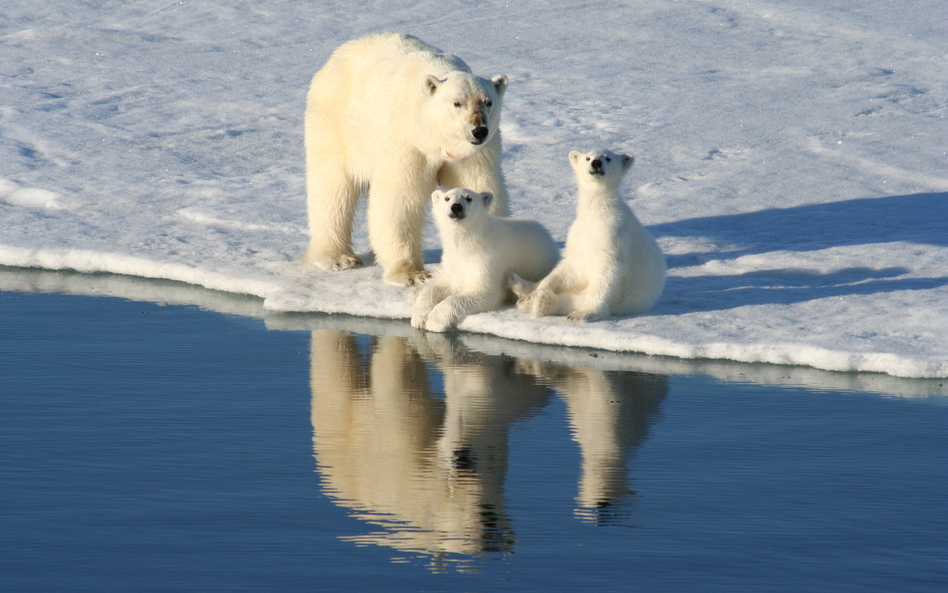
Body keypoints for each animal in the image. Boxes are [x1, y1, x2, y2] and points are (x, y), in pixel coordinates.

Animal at [304, 32, 512, 286]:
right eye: (457, 102)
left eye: (488, 102)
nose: (479, 130)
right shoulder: (405, 142)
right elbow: (399, 197)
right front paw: (412, 273)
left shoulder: (473, 154)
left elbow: (480, 185)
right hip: (336, 121)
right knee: (333, 187)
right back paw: (338, 257)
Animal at [412, 187, 560, 330]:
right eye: (447, 198)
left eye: (469, 198)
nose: (456, 207)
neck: (469, 243)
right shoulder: (454, 261)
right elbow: (442, 286)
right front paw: (419, 318)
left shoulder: (487, 259)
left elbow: (484, 292)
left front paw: (434, 322)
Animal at [512, 150, 668, 322]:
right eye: (588, 157)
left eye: (608, 158)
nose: (596, 163)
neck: (596, 213)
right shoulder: (579, 235)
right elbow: (571, 267)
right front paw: (533, 294)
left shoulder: (613, 234)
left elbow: (607, 271)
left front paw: (584, 314)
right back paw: (520, 286)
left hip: (627, 300)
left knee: (575, 299)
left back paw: (541, 303)